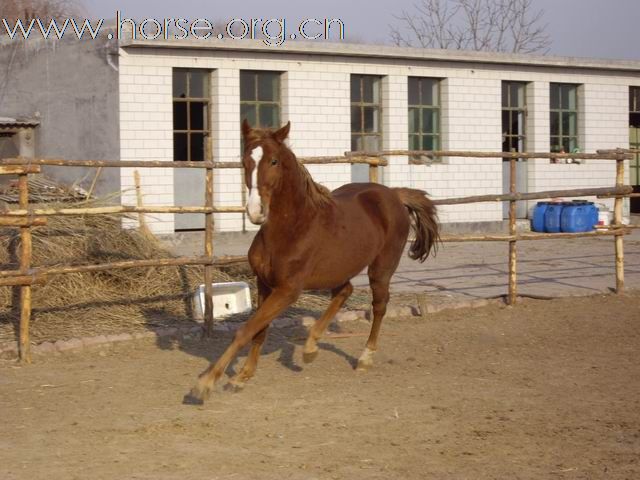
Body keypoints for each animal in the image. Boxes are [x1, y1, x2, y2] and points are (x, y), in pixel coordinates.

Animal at [186, 120, 440, 402]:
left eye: (274, 161)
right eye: (245, 161)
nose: (255, 212)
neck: (293, 228)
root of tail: (394, 194)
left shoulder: (288, 290)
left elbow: (245, 330)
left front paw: (205, 383)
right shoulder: (264, 283)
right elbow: (258, 331)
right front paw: (241, 377)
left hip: (381, 268)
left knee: (379, 306)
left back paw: (364, 358)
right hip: (338, 270)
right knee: (345, 291)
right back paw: (310, 347)